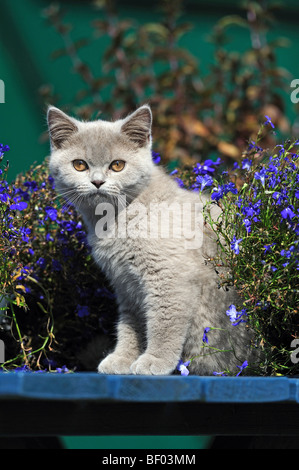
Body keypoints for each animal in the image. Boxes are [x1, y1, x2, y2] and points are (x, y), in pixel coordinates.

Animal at [47, 103, 255, 374]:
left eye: (117, 165)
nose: (97, 182)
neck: (115, 221)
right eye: (79, 165)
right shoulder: (125, 284)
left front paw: (155, 360)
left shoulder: (168, 277)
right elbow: (130, 324)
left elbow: (163, 322)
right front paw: (123, 358)